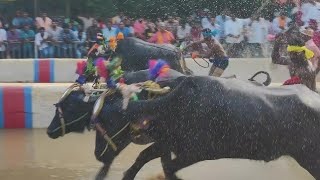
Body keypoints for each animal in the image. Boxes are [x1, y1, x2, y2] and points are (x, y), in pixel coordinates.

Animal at [90, 76, 320, 180]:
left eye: (111, 122)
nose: (98, 155)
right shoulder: (168, 143)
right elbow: (144, 157)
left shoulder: (195, 152)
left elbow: (168, 167)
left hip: (311, 159)